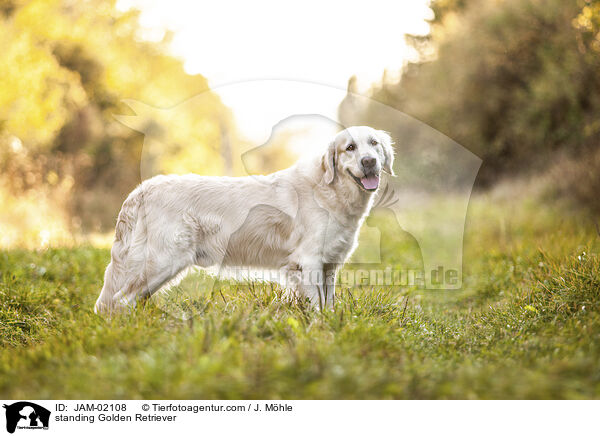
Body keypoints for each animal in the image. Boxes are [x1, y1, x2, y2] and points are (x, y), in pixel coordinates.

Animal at [94, 125, 394, 314]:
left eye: (374, 144)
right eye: (350, 147)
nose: (369, 161)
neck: (329, 191)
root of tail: (141, 189)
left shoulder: (329, 265)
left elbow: (329, 302)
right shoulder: (308, 262)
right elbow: (317, 304)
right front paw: (320, 330)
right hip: (162, 261)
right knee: (120, 300)